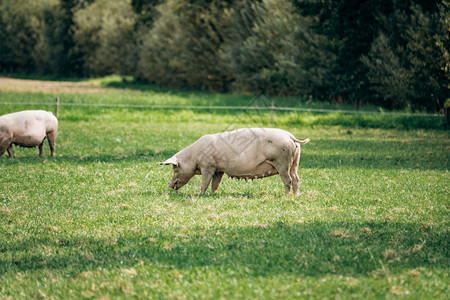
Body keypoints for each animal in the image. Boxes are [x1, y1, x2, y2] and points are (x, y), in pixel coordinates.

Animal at [160, 127, 312, 196]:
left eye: (175, 168)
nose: (169, 185)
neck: (193, 156)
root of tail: (290, 136)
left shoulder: (207, 166)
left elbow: (205, 181)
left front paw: (200, 194)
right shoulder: (219, 169)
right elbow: (215, 183)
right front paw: (213, 194)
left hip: (282, 161)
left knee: (288, 180)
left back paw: (286, 195)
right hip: (294, 162)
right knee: (296, 178)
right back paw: (296, 195)